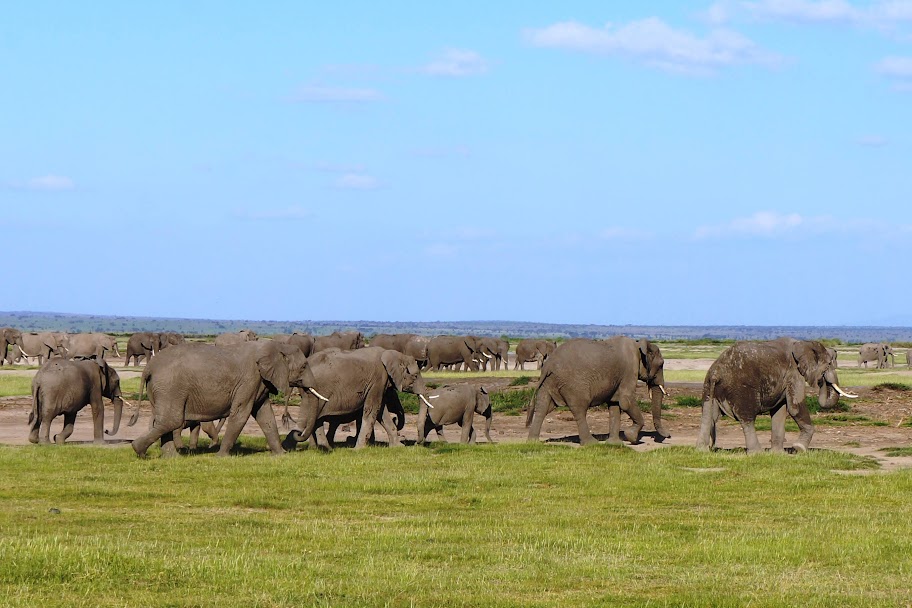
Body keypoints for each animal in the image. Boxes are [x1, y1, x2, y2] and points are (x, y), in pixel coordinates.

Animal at [129, 342, 320, 456]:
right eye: (304, 366)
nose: (297, 432)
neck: (272, 345)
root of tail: (149, 367)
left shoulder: (259, 382)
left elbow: (265, 415)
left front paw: (280, 455)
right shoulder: (249, 379)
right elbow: (241, 413)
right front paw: (222, 456)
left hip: (161, 389)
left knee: (165, 421)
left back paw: (170, 458)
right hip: (170, 387)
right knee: (172, 420)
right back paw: (139, 450)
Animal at [284, 346, 432, 452]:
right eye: (415, 376)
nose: (416, 444)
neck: (394, 354)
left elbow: (381, 412)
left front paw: (398, 447)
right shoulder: (378, 380)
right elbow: (372, 409)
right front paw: (359, 449)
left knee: (313, 417)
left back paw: (321, 448)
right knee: (314, 417)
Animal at [524, 338, 668, 446]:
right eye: (661, 364)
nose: (669, 436)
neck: (639, 345)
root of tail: (549, 364)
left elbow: (614, 404)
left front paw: (614, 444)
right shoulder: (629, 370)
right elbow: (625, 401)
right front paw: (631, 438)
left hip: (548, 381)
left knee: (543, 408)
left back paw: (533, 442)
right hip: (574, 384)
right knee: (579, 409)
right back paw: (591, 443)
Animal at [700, 340, 860, 454]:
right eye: (828, 365)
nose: (822, 381)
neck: (803, 343)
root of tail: (716, 371)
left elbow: (780, 411)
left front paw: (778, 454)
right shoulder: (794, 374)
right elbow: (795, 407)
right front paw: (799, 448)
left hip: (708, 385)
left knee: (708, 415)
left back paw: (702, 451)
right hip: (740, 388)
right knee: (747, 417)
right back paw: (757, 453)